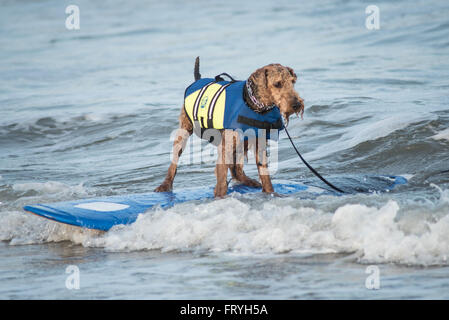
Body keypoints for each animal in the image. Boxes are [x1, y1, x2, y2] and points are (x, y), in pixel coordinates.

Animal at [154, 57, 304, 198]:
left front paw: (271, 193)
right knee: (174, 163)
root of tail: (198, 79)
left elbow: (265, 176)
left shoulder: (259, 144)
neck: (255, 106)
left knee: (236, 169)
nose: (296, 104)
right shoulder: (226, 147)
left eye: (293, 82)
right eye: (277, 84)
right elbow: (221, 181)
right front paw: (220, 197)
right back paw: (164, 185)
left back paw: (249, 181)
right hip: (184, 133)